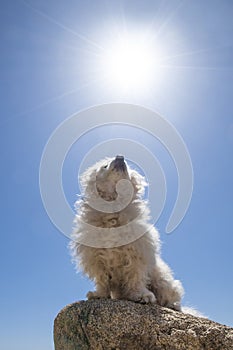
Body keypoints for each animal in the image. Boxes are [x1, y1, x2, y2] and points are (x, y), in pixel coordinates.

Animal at [69, 154, 184, 310]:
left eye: (127, 165)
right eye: (104, 166)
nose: (120, 156)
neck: (113, 211)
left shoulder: (137, 254)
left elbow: (135, 276)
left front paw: (141, 295)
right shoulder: (96, 258)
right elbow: (102, 279)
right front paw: (99, 294)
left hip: (162, 279)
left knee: (170, 295)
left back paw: (172, 305)